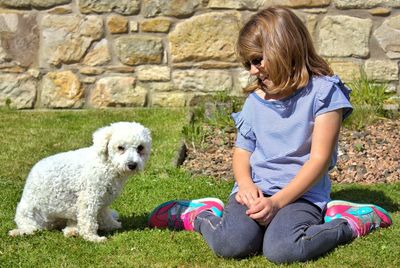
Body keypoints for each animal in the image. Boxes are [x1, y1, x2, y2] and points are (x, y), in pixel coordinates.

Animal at [8, 122, 152, 243]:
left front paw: (112, 225)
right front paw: (93, 238)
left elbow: (104, 215)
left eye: (140, 148)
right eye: (120, 147)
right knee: (31, 227)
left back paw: (72, 231)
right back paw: (19, 232)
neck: (106, 164)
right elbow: (89, 220)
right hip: (28, 212)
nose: (132, 165)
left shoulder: (102, 200)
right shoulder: (89, 197)